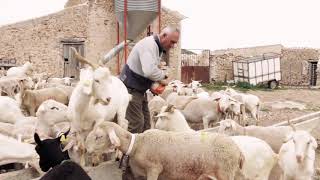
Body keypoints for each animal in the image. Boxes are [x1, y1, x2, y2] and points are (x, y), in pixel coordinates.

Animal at [84, 121, 244, 180]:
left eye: (98, 136)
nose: (86, 148)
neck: (137, 144)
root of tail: (238, 150)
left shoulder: (154, 169)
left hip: (225, 173)